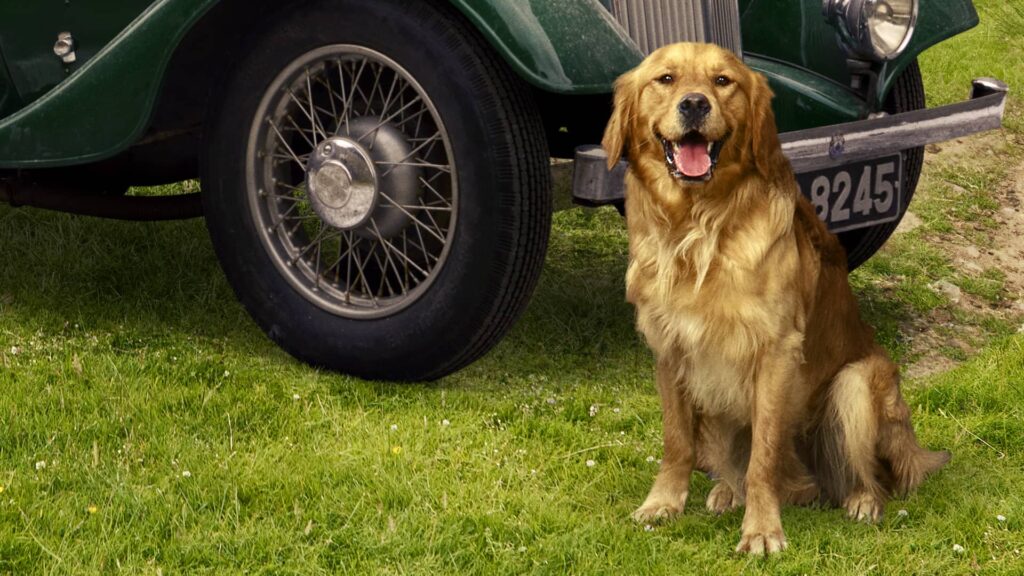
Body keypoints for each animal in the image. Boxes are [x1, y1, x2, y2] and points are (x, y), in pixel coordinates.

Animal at [602, 42, 946, 553]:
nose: (695, 104)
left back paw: (861, 501)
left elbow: (763, 455)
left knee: (867, 476)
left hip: (856, 383)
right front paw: (663, 502)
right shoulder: (671, 349)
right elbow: (676, 441)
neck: (698, 228)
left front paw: (762, 529)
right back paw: (727, 491)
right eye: (665, 79)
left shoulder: (776, 351)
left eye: (723, 81)